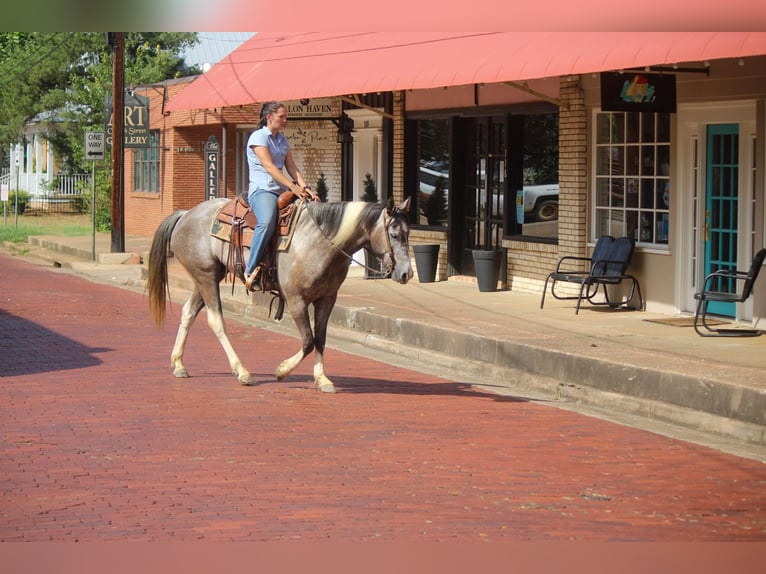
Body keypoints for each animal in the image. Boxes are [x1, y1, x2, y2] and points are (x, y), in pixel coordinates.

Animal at [148, 196, 414, 394]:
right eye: (393, 234)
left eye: (409, 233)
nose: (406, 273)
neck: (320, 243)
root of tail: (186, 214)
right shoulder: (296, 300)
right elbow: (308, 341)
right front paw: (282, 370)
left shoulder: (327, 299)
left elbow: (320, 338)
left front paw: (322, 379)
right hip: (206, 277)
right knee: (216, 321)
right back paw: (242, 372)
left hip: (206, 277)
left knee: (188, 313)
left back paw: (179, 364)